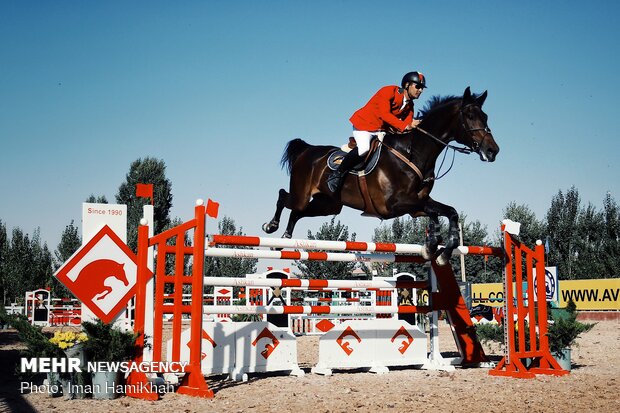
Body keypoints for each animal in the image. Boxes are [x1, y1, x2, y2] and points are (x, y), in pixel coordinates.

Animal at [262, 87, 498, 260]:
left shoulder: (417, 205)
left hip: (328, 205)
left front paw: (442, 250)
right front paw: (432, 245)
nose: (492, 151)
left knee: (297, 212)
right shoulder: (394, 205)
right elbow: (434, 213)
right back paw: (271, 226)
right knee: (285, 197)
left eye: (485, 116)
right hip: (303, 194)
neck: (414, 152)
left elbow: (450, 212)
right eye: (469, 116)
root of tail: (307, 150)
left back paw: (284, 239)